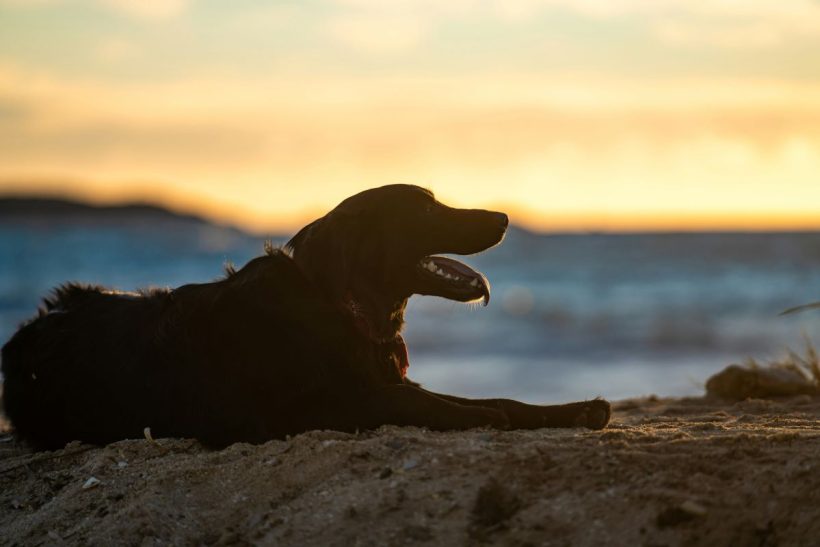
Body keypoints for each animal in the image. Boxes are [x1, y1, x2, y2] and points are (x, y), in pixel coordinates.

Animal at [1, 184, 608, 450]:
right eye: (426, 207)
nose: (504, 217)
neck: (335, 303)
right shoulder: (335, 405)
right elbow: (469, 409)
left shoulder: (382, 382)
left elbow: (501, 400)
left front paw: (577, 410)